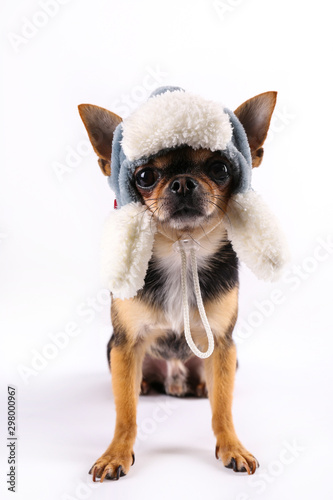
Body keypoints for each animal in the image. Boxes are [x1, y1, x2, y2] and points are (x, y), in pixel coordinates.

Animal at [79, 89, 276, 480]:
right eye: (144, 175)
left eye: (219, 169)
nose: (183, 181)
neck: (180, 250)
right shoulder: (125, 344)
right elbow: (125, 413)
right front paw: (116, 453)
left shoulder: (222, 344)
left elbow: (223, 409)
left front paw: (232, 447)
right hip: (113, 351)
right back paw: (143, 384)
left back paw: (199, 386)